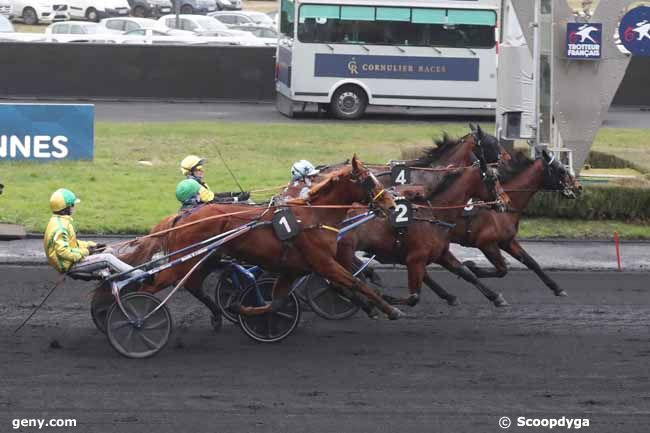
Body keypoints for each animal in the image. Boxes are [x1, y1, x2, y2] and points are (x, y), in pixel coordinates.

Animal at [135, 157, 408, 318]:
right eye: (367, 181)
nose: (392, 204)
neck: (314, 216)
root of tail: (182, 217)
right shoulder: (323, 263)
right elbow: (354, 282)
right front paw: (391, 309)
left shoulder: (295, 268)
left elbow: (276, 303)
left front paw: (238, 306)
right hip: (186, 262)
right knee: (150, 285)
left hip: (207, 259)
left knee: (192, 285)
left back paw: (216, 315)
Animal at [454, 147, 580, 296]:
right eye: (561, 170)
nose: (578, 186)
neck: (503, 206)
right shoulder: (486, 244)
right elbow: (502, 270)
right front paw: (471, 266)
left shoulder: (507, 241)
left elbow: (531, 262)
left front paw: (557, 288)